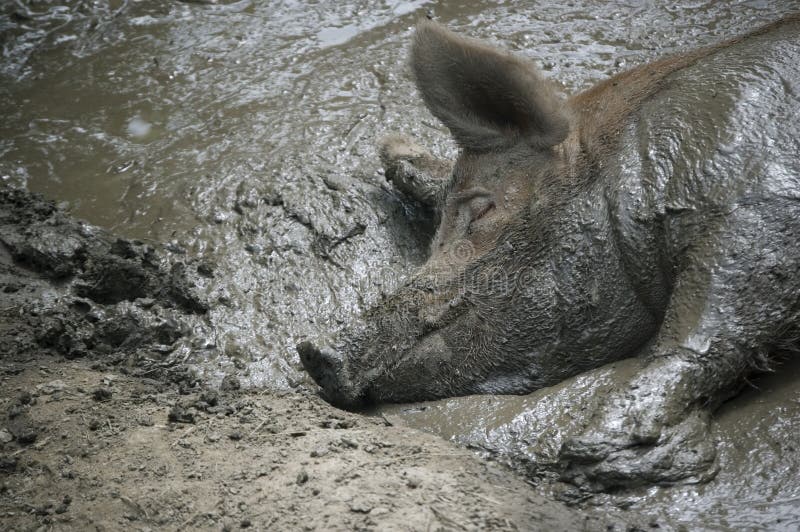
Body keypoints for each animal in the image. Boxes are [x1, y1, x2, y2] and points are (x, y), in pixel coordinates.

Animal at [299, 16, 800, 488]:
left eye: (481, 208)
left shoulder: (751, 201)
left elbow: (708, 316)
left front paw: (594, 453)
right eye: (434, 230)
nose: (311, 349)